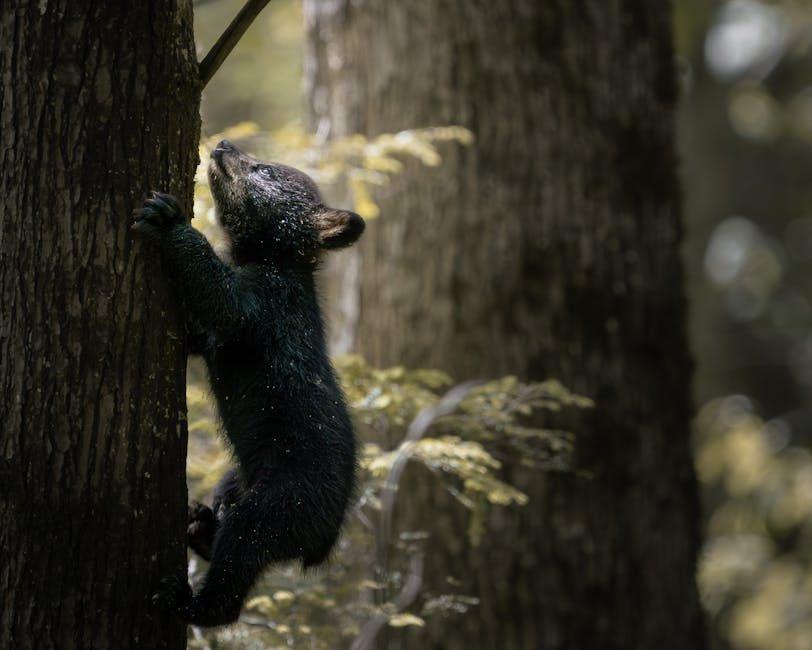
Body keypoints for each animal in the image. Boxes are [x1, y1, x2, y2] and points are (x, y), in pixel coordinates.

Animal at [133, 139, 365, 627]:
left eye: (265, 171)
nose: (223, 144)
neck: (272, 260)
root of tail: (326, 542)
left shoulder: (268, 303)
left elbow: (225, 301)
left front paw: (170, 221)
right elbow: (204, 333)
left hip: (282, 501)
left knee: (241, 551)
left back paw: (188, 600)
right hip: (237, 477)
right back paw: (201, 523)